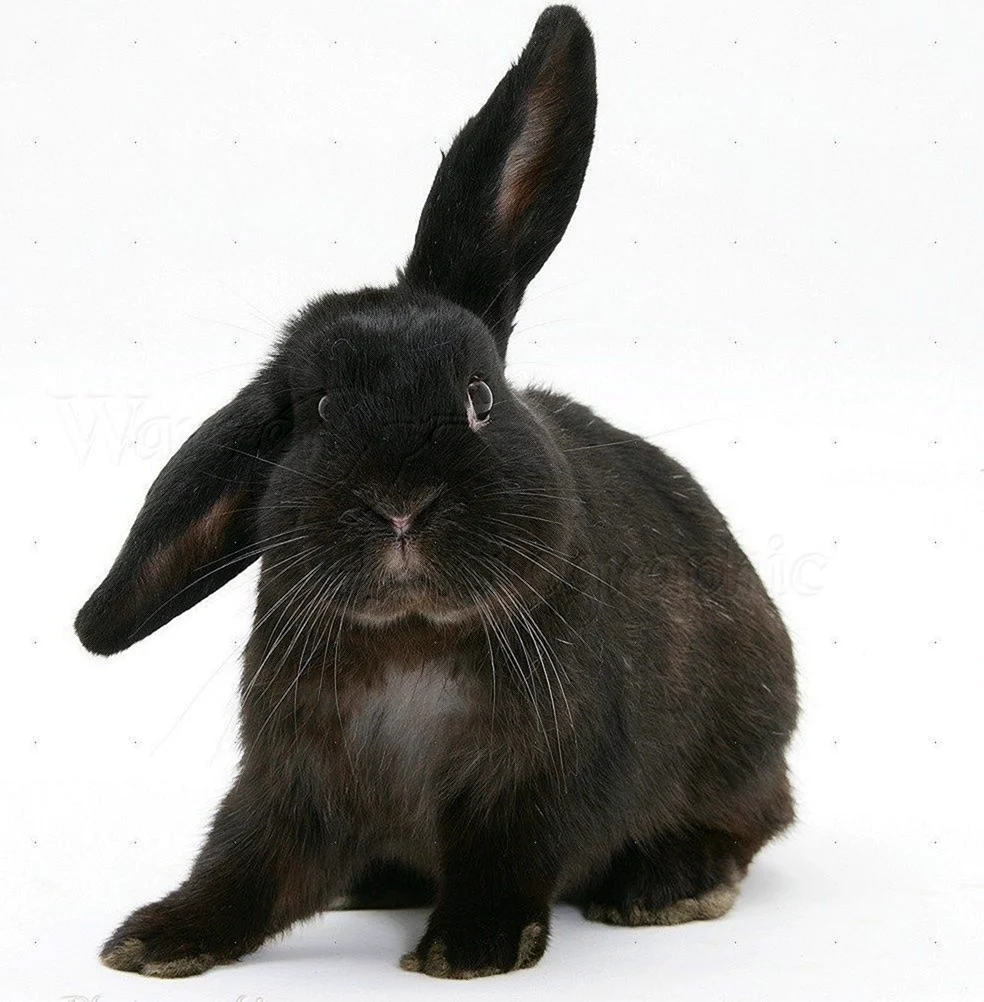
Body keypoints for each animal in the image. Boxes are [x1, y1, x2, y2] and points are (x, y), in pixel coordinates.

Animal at [76, 4, 798, 981]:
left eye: (479, 397)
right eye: (317, 410)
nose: (400, 503)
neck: (411, 641)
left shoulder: (536, 785)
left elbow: (506, 859)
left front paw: (469, 950)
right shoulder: (290, 782)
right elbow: (245, 866)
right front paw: (153, 939)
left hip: (746, 737)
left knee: (754, 817)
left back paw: (670, 884)